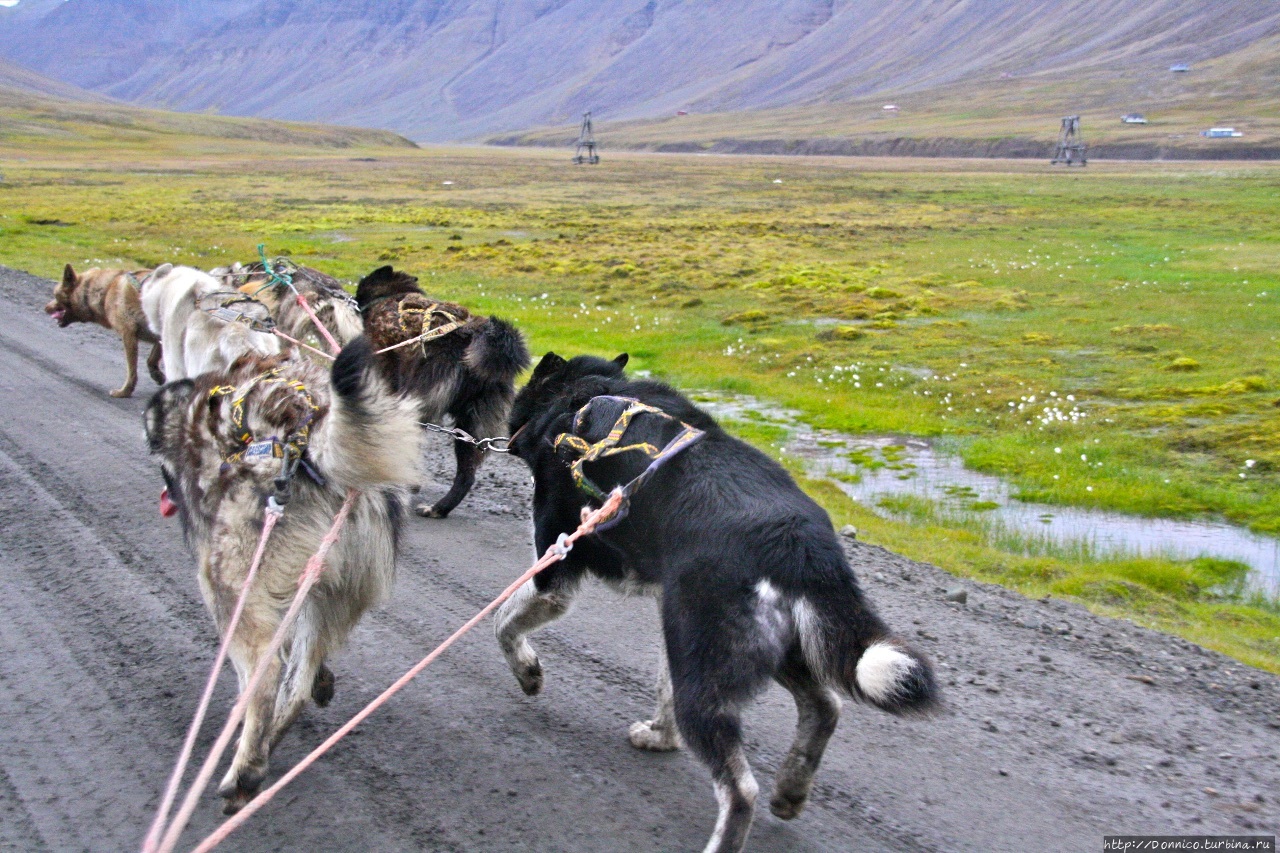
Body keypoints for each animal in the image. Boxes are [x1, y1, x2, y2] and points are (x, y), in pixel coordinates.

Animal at [46, 262, 165, 394]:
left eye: (55, 295)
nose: (45, 308)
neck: (106, 290)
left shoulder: (128, 333)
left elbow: (132, 372)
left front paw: (124, 392)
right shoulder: (159, 337)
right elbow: (151, 360)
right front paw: (158, 376)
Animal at [494, 350, 936, 850]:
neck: (582, 394)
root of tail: (800, 543)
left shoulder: (554, 573)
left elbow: (502, 623)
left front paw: (528, 673)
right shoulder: (669, 618)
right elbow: (663, 689)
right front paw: (662, 738)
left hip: (704, 672)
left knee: (741, 790)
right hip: (737, 648)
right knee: (825, 707)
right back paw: (791, 789)